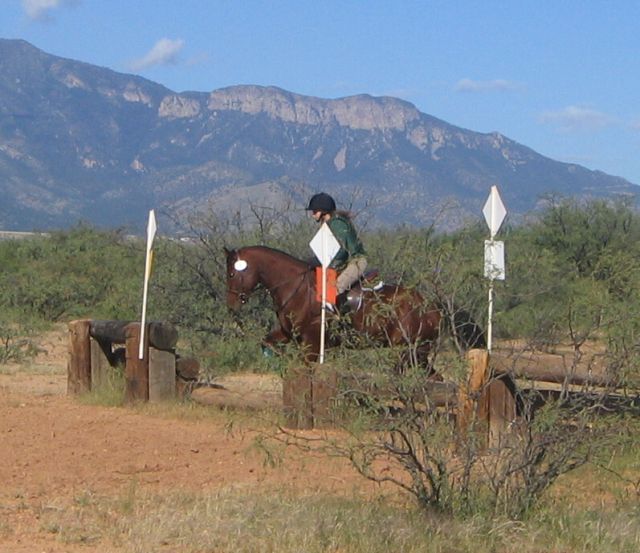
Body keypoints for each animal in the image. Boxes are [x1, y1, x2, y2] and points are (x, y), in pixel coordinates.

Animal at [225, 245, 484, 370]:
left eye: (232, 274)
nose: (232, 306)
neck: (295, 287)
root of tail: (432, 306)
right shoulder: (288, 333)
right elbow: (267, 343)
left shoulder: (311, 341)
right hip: (416, 353)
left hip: (410, 350)